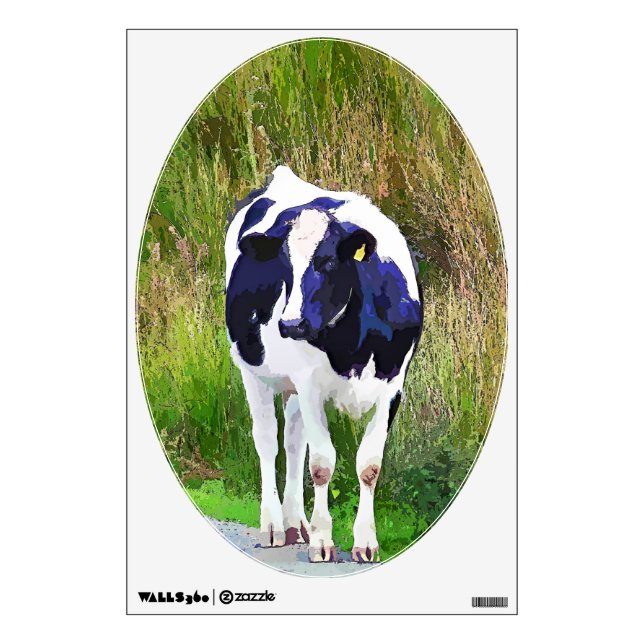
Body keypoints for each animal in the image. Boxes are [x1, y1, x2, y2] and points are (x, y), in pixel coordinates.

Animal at [224, 166, 422, 563]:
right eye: (284, 265)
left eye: (328, 262)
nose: (290, 324)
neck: (354, 344)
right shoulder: (310, 384)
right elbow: (321, 464)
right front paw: (322, 541)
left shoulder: (393, 387)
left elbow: (369, 465)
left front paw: (365, 543)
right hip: (252, 371)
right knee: (267, 441)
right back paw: (274, 524)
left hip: (293, 387)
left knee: (292, 443)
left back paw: (295, 524)